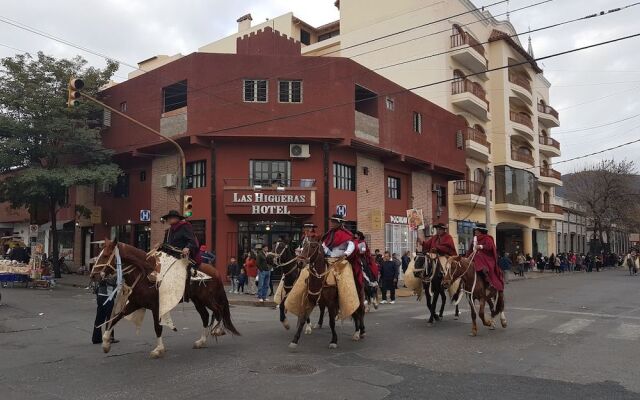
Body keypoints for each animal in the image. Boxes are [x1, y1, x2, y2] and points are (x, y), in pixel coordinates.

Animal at [89, 239, 239, 358]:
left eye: (106, 255)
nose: (93, 276)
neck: (145, 274)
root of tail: (215, 271)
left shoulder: (157, 306)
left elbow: (157, 327)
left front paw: (159, 350)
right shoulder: (135, 303)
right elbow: (116, 317)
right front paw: (106, 343)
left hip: (207, 298)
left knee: (218, 310)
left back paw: (218, 330)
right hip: (198, 301)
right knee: (205, 316)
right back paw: (201, 341)